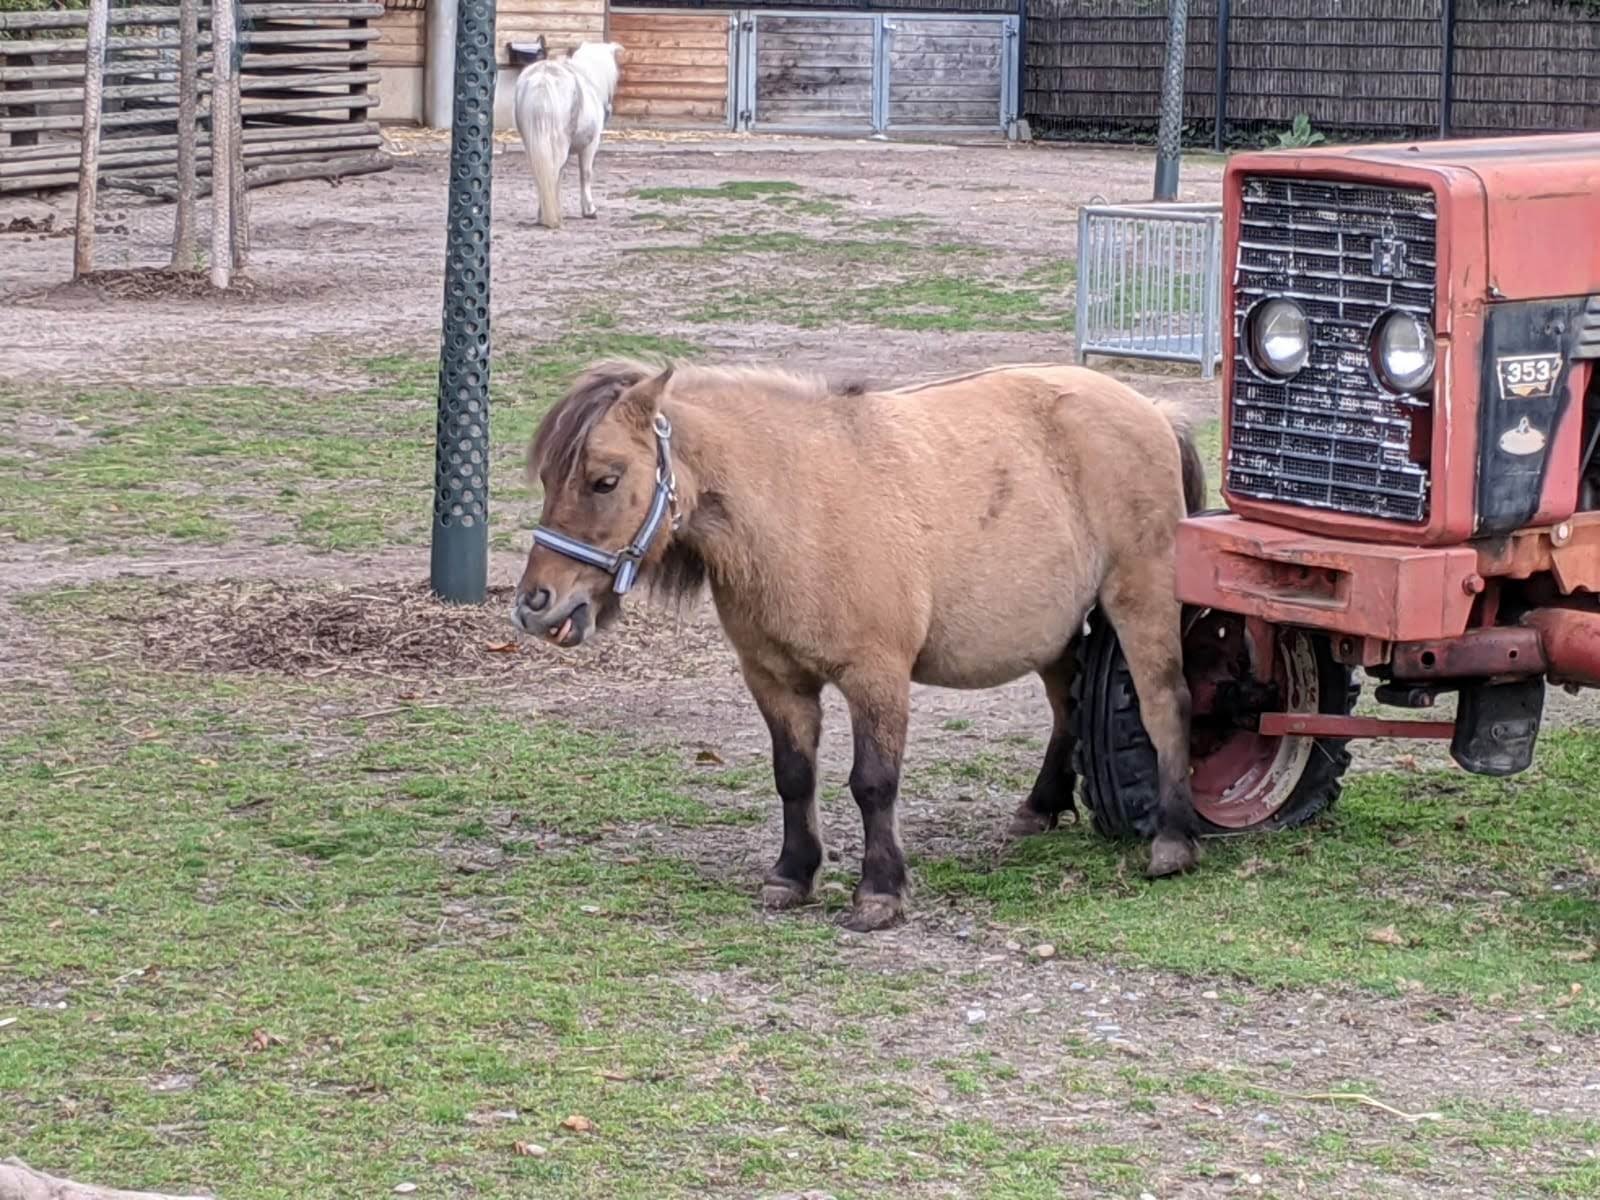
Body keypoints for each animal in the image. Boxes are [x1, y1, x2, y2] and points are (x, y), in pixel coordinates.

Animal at [515, 41, 620, 230]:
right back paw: (552, 217)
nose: (609, 109)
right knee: (553, 172)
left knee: (542, 174)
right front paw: (589, 210)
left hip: (532, 144)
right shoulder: (590, 145)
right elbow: (585, 174)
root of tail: (543, 79)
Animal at [518, 356, 1203, 928]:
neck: (798, 507)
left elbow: (873, 782)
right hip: (1054, 629)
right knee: (1065, 706)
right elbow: (794, 776)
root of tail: (1153, 412)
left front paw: (879, 891)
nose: (535, 604)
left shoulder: (876, 675)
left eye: (605, 481)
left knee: (1166, 703)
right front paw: (792, 874)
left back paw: (1172, 839)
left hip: (1141, 600)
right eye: (549, 478)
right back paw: (1041, 805)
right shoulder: (774, 678)